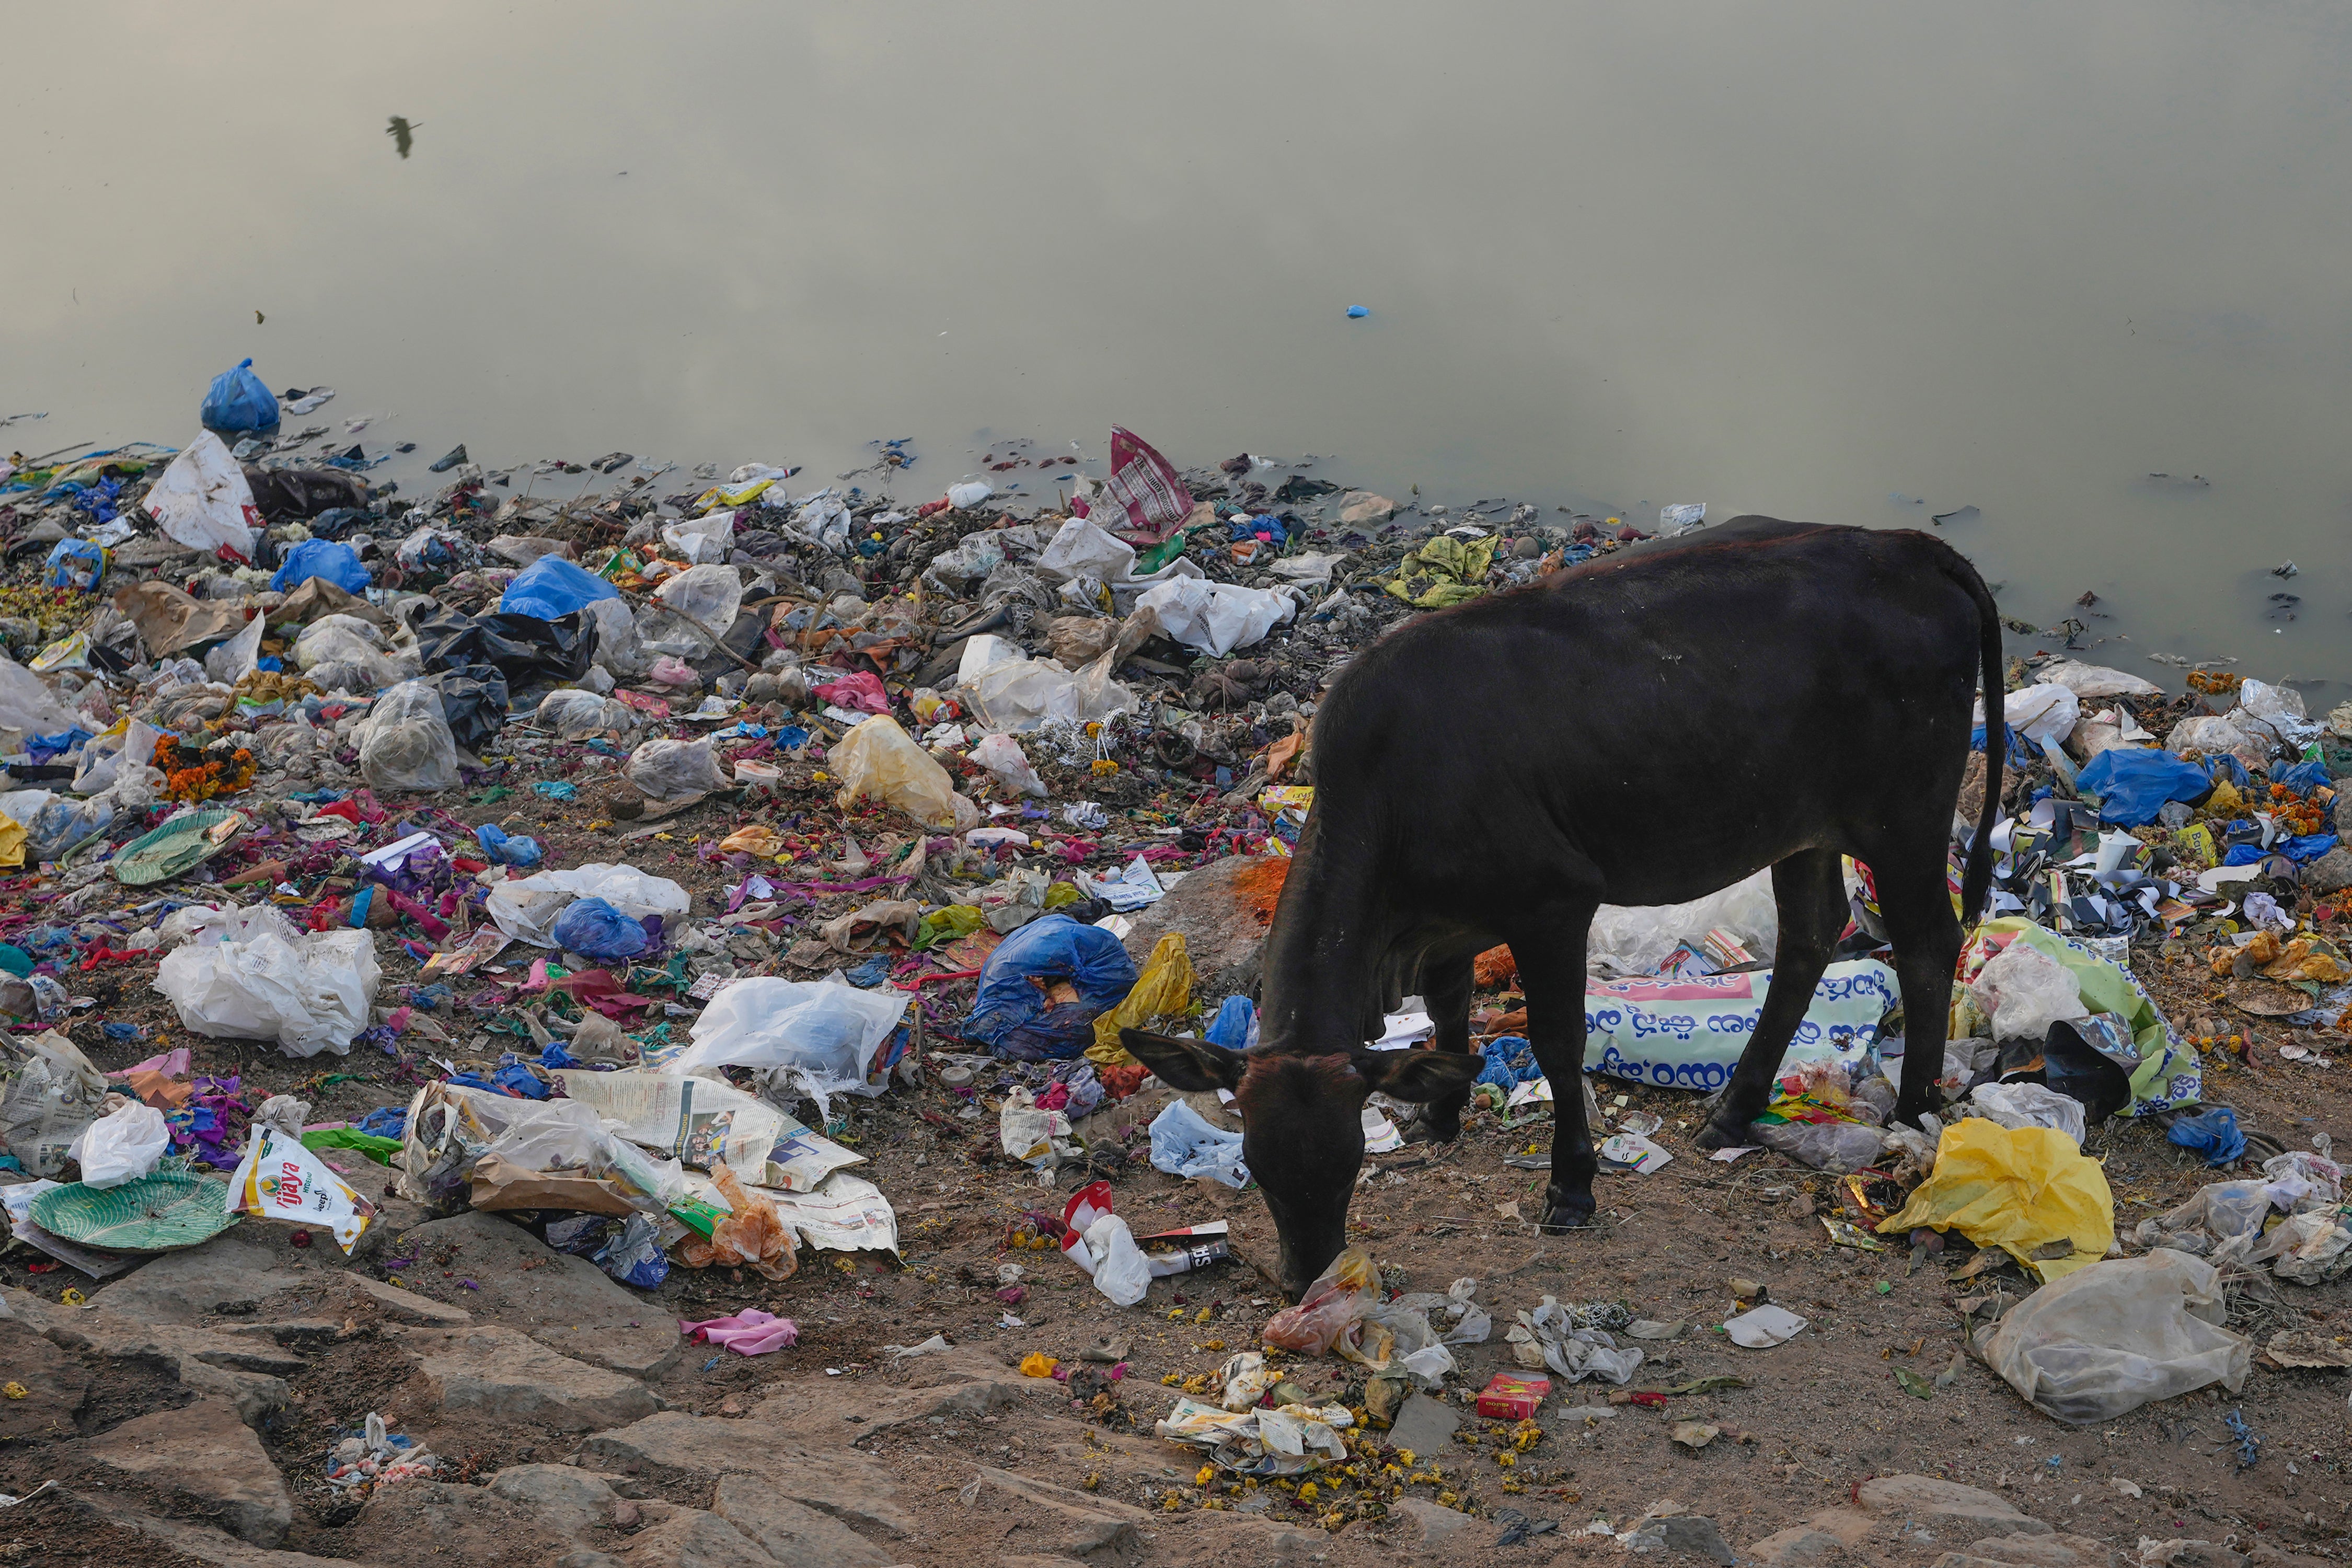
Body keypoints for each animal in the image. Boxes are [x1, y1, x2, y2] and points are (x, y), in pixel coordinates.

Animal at [1120, 516, 2004, 1299]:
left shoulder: (1553, 902)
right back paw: (1735, 1110)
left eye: (1345, 1165)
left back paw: (1914, 1111)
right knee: (1810, 938)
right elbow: (1448, 1007)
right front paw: (1442, 1112)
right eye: (1258, 1165)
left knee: (1928, 940)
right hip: (1800, 825)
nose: (1305, 1280)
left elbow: (1557, 1041)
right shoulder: (1450, 924)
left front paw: (1571, 1184)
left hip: (1904, 816)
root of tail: (1909, 548)